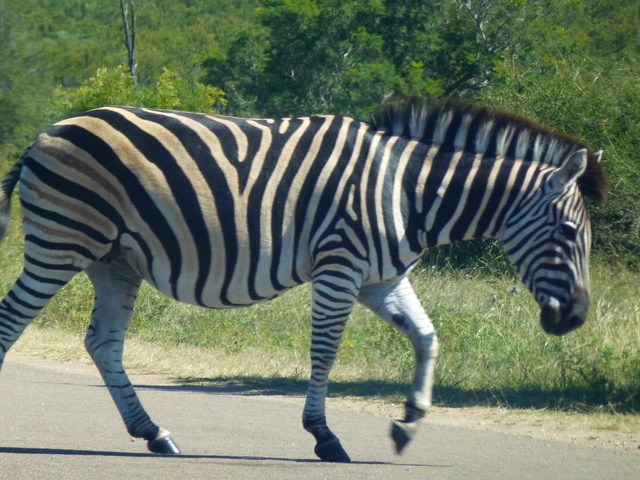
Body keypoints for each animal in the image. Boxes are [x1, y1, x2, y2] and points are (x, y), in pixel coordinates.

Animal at [0, 98, 606, 462]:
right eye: (570, 231)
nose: (576, 318)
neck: (407, 192)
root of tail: (46, 133)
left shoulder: (381, 277)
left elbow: (427, 336)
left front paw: (408, 422)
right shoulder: (341, 264)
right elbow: (326, 351)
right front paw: (325, 436)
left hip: (114, 259)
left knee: (103, 343)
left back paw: (155, 433)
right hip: (63, 241)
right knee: (11, 323)